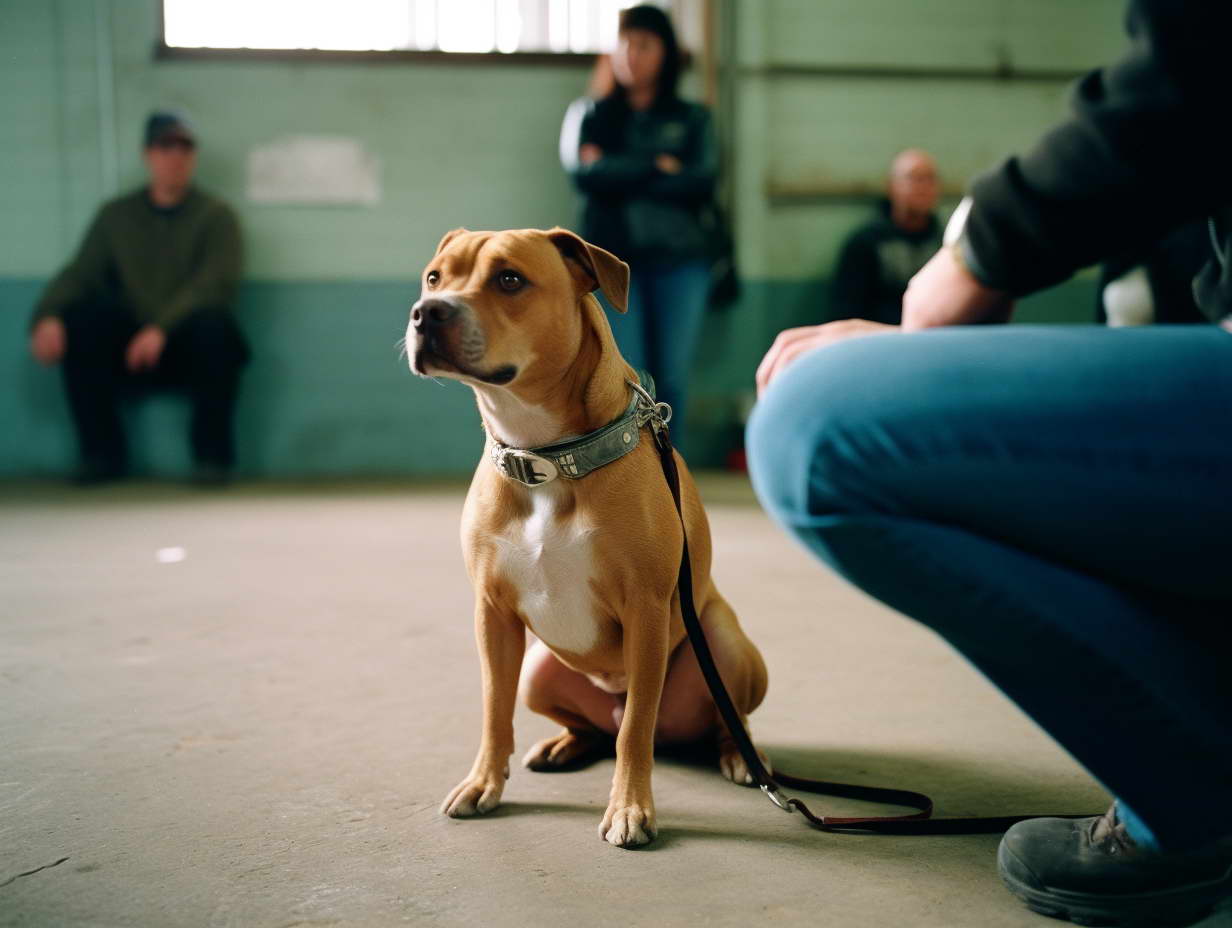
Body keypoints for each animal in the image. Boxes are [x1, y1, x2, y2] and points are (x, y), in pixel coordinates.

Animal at [409, 226, 763, 847]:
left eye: (509, 279)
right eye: (434, 277)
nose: (427, 312)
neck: (546, 456)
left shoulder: (646, 610)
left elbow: (636, 729)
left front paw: (630, 808)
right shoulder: (492, 614)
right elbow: (494, 709)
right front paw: (483, 782)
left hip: (726, 646)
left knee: (721, 716)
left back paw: (740, 755)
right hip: (537, 671)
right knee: (596, 728)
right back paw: (565, 745)